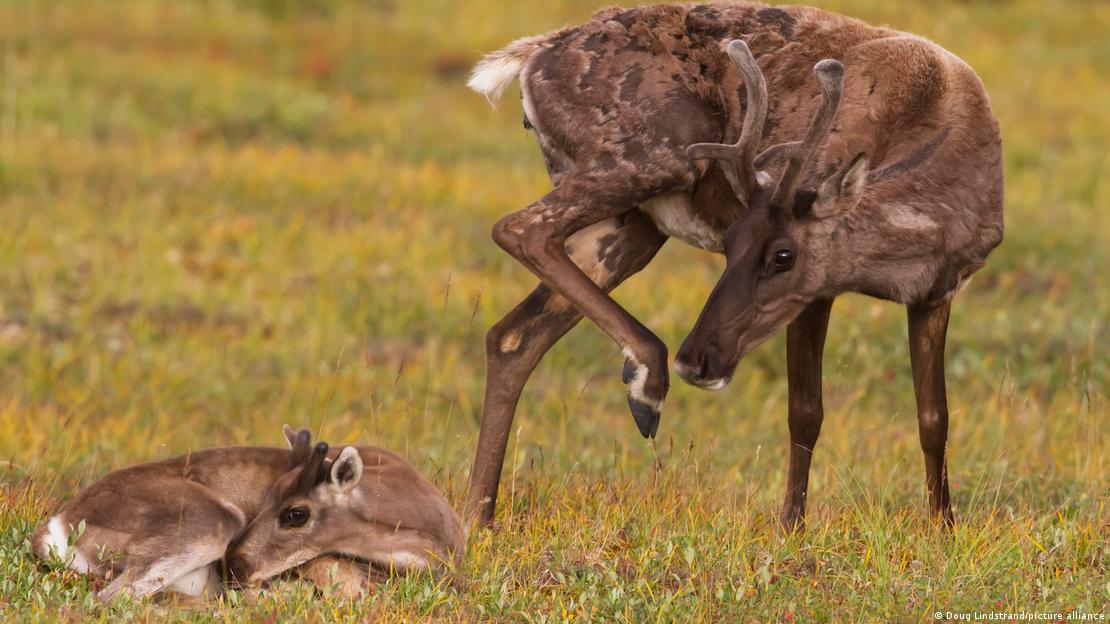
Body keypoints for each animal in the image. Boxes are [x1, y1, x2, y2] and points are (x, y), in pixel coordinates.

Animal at [32, 426, 463, 600]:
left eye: (295, 514)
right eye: (269, 494)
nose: (235, 566)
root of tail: (56, 527)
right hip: (212, 521)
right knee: (113, 598)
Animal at [464, 3, 1003, 530]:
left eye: (782, 255)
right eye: (731, 241)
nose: (695, 360)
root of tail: (533, 56)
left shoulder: (937, 290)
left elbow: (934, 417)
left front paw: (944, 527)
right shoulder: (817, 290)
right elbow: (805, 411)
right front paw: (790, 528)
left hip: (636, 223)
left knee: (514, 335)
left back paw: (478, 515)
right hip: (651, 159)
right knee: (519, 228)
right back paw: (648, 384)